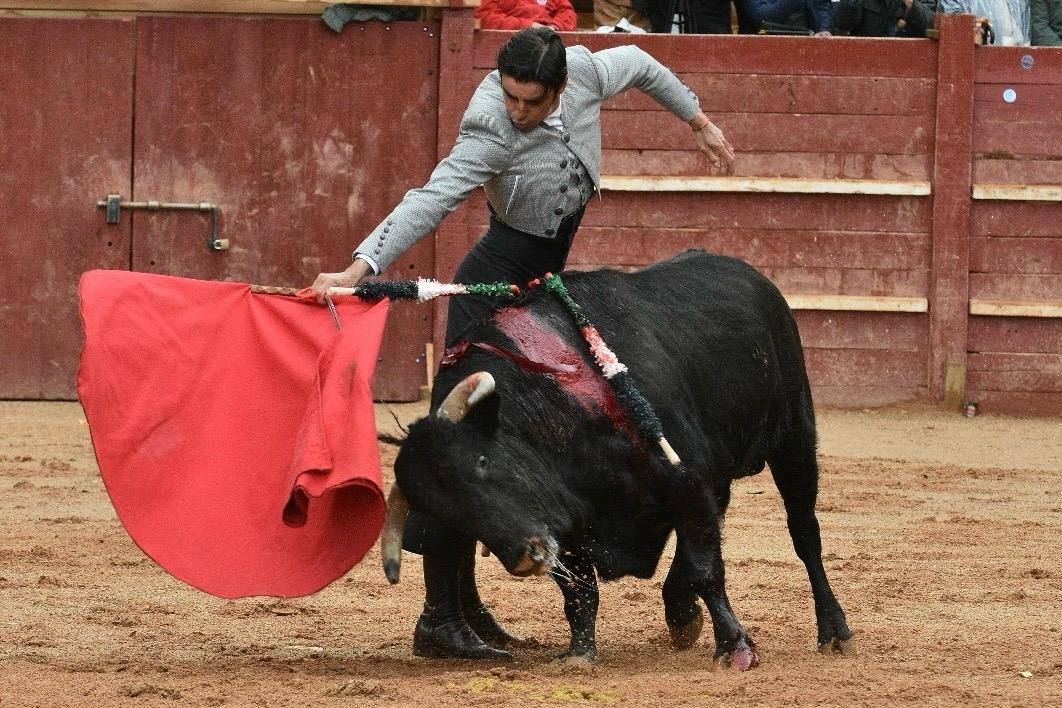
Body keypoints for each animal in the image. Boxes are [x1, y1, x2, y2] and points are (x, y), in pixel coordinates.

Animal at [382, 251, 853, 666]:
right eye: (448, 512)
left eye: (481, 462)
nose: (523, 555)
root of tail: (749, 273)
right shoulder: (568, 518)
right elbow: (580, 590)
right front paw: (580, 653)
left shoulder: (684, 476)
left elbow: (707, 568)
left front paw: (735, 649)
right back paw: (680, 611)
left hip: (794, 437)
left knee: (804, 532)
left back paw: (834, 630)